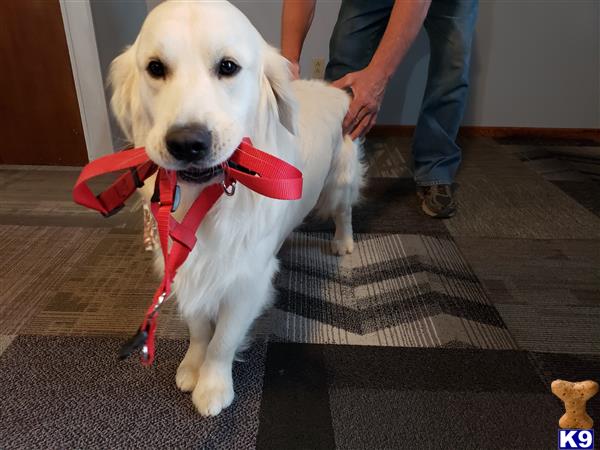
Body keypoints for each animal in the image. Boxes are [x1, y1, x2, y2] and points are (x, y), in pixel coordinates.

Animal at [111, 0, 366, 416]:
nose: (188, 143)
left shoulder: (247, 279)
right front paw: (191, 366)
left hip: (340, 180)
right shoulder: (184, 264)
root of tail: (333, 90)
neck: (208, 199)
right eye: (155, 67)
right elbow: (199, 329)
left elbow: (224, 339)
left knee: (343, 211)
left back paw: (343, 243)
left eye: (228, 66)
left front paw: (213, 384)